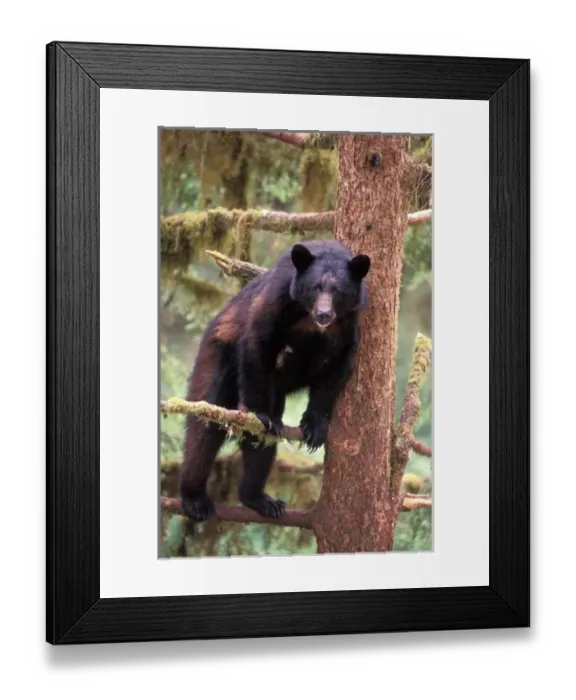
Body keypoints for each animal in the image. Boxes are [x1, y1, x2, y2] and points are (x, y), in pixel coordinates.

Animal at [179, 239, 371, 521]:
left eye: (338, 290)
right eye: (315, 287)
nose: (324, 315)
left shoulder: (348, 326)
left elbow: (335, 373)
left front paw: (314, 427)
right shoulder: (277, 299)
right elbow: (258, 343)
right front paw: (259, 413)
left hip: (276, 395)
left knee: (262, 447)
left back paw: (260, 499)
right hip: (216, 360)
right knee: (205, 430)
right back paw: (194, 500)